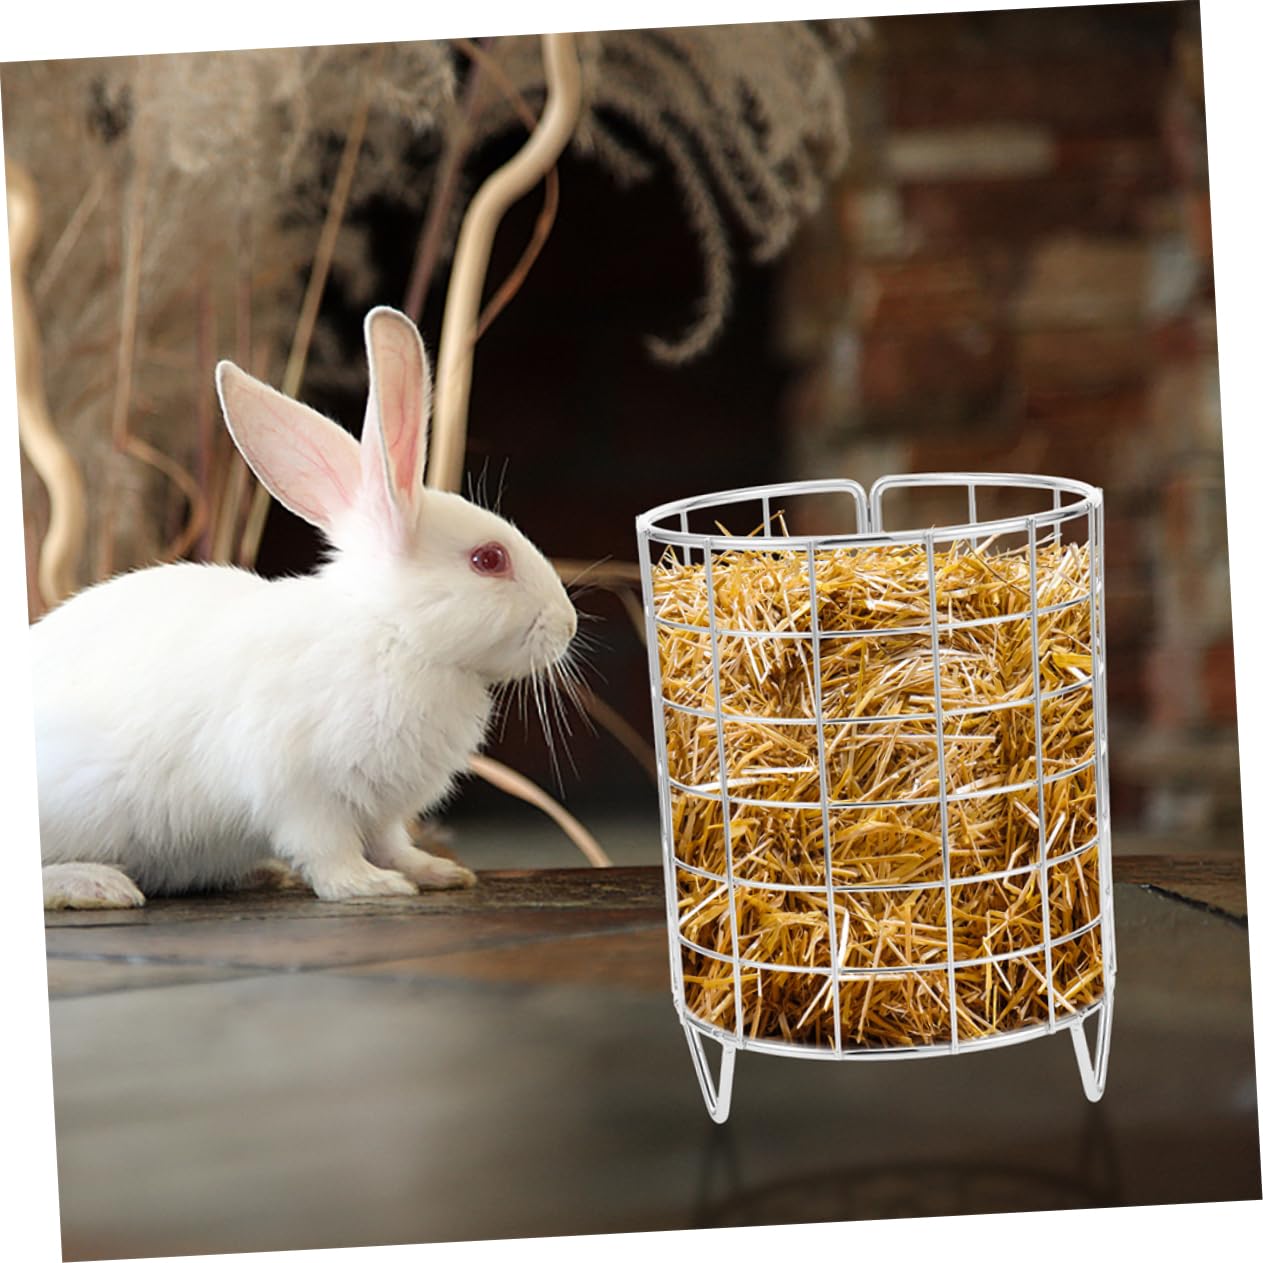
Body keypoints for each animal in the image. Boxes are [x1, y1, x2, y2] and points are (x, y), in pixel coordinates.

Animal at [34, 306, 578, 909]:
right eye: (489, 559)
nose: (569, 625)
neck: (393, 634)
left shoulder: (381, 810)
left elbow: (392, 843)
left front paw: (437, 872)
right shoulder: (301, 791)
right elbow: (327, 848)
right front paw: (368, 886)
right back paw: (97, 884)